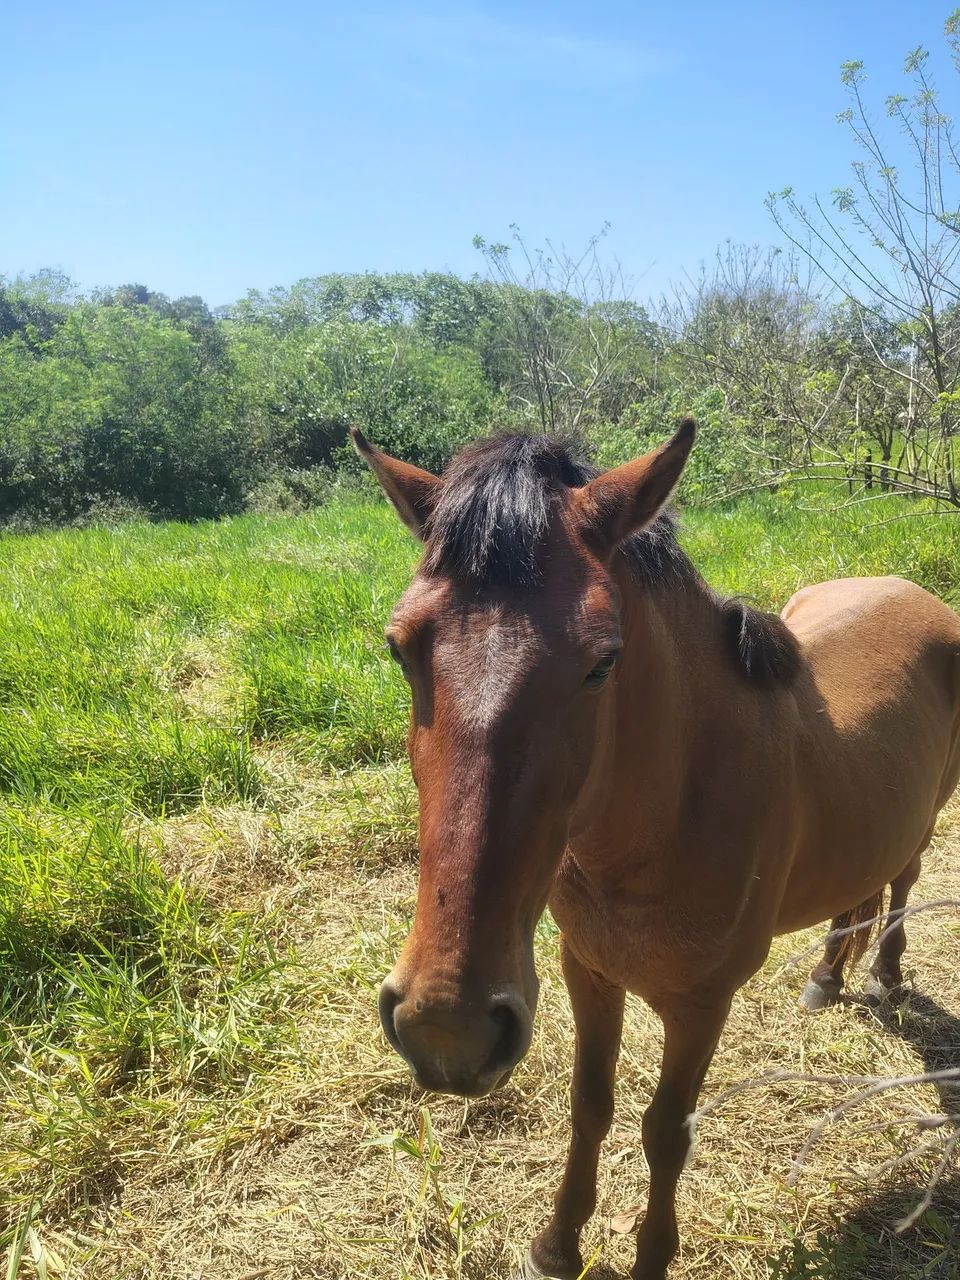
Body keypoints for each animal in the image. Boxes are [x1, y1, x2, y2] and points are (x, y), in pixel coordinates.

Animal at [352, 419, 960, 1280]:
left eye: (603, 661)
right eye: (399, 647)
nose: (447, 1029)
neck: (661, 826)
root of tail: (914, 592)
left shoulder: (703, 1004)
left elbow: (666, 1131)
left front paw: (647, 1255)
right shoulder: (587, 969)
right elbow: (590, 1104)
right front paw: (558, 1242)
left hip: (926, 816)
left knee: (903, 880)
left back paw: (882, 974)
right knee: (863, 890)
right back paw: (825, 978)